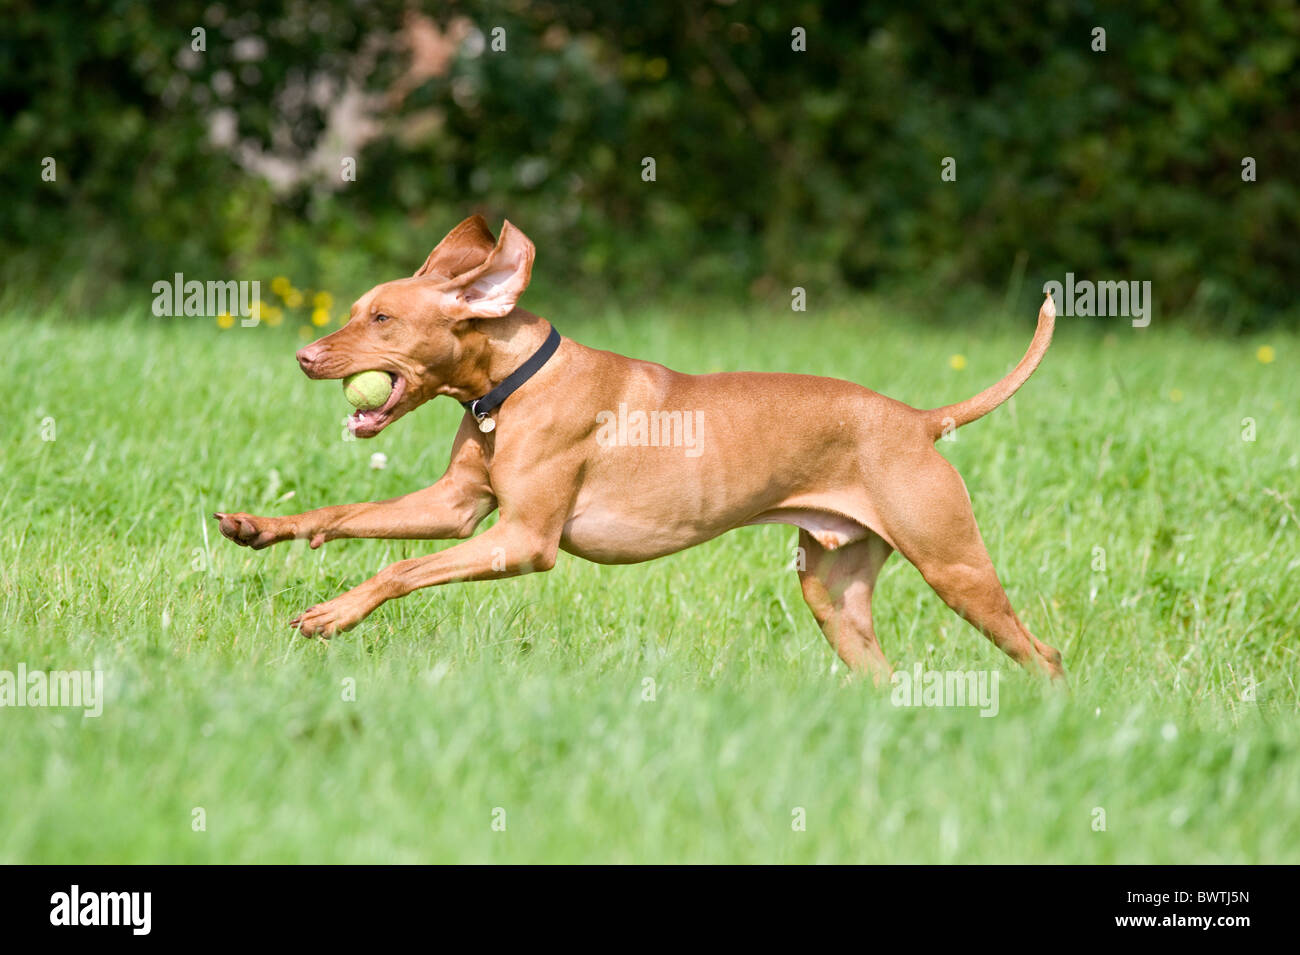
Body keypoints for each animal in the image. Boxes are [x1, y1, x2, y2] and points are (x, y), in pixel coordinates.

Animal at [215, 216, 1066, 680]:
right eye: (357, 309)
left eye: (383, 319)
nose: (303, 357)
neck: (512, 385)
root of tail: (919, 418)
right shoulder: (457, 509)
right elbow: (344, 511)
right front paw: (262, 529)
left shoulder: (522, 541)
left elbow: (396, 569)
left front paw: (333, 612)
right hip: (834, 598)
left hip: (956, 566)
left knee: (1043, 654)